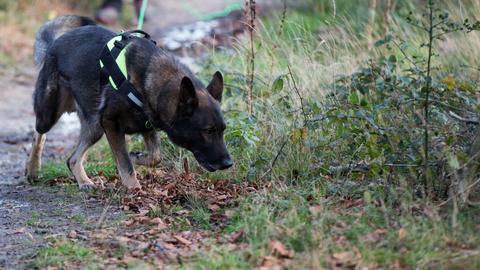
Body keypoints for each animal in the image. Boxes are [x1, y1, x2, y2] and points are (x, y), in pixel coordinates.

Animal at [25, 15, 232, 189]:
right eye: (208, 131)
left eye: (223, 130)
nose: (229, 163)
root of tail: (54, 44)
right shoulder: (111, 124)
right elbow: (125, 164)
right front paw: (134, 190)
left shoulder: (147, 126)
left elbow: (155, 156)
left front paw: (137, 157)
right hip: (51, 113)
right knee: (39, 133)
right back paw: (33, 169)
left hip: (95, 127)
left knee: (72, 159)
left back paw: (83, 181)